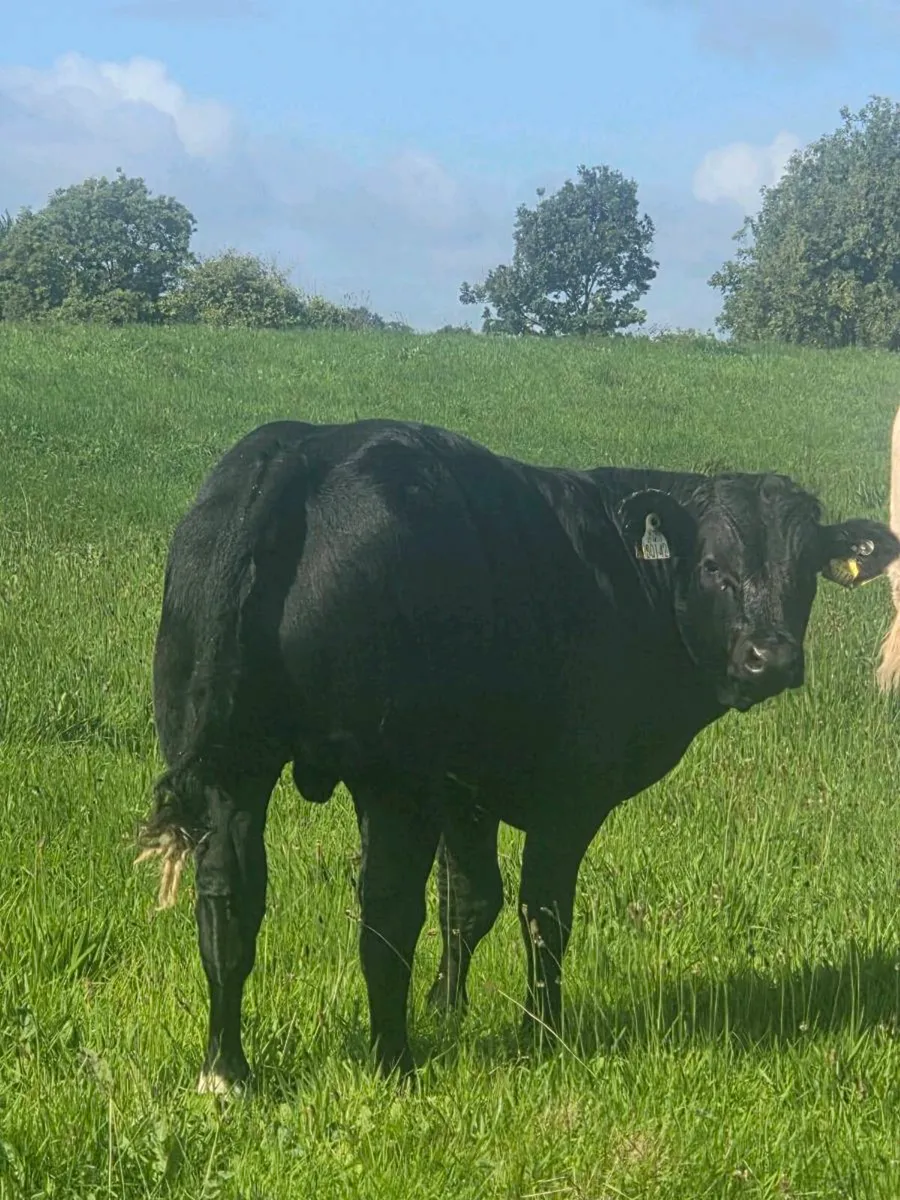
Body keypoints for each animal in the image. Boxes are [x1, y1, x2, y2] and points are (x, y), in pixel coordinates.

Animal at [137, 417, 899, 1095]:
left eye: (805, 570)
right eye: (714, 567)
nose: (772, 657)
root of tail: (305, 448)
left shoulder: (462, 789)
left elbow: (470, 901)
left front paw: (448, 1009)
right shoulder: (566, 794)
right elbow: (543, 913)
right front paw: (542, 1032)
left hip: (234, 769)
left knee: (230, 899)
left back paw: (226, 1070)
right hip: (391, 778)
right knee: (386, 914)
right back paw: (394, 1064)